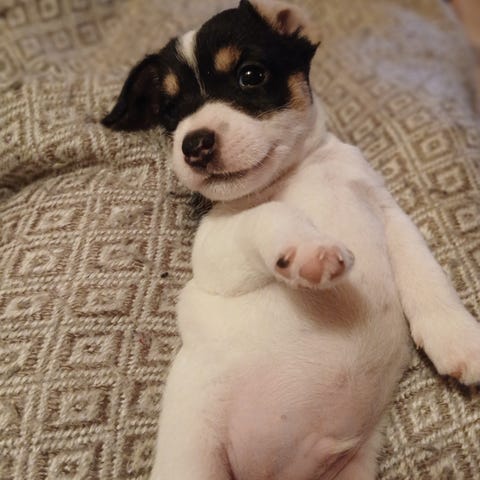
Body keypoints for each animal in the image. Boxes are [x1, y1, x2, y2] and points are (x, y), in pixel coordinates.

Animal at [102, 1, 480, 478]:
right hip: (192, 461)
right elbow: (267, 215)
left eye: (250, 75)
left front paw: (458, 337)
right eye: (170, 111)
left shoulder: (388, 213)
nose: (194, 144)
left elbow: (426, 272)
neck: (295, 174)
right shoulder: (214, 250)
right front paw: (308, 248)